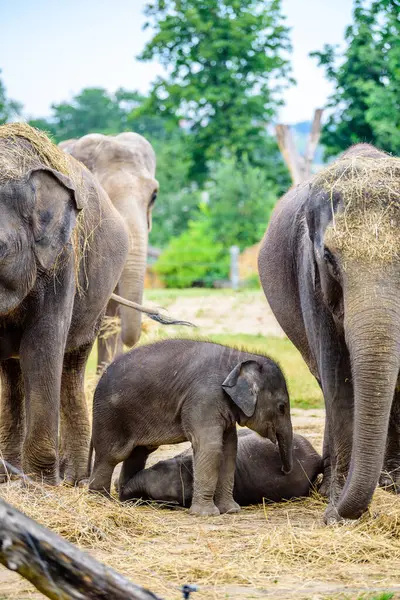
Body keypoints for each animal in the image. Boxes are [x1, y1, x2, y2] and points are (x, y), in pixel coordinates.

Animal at [90, 338, 294, 516]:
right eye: (282, 407)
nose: (284, 470)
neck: (238, 359)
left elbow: (229, 449)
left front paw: (231, 511)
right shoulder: (204, 398)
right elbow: (210, 447)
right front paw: (206, 514)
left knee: (138, 453)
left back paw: (129, 500)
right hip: (110, 416)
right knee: (112, 456)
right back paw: (100, 501)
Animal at [260, 144, 400, 520]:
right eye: (328, 256)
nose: (331, 515)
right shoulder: (310, 276)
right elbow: (338, 374)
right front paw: (337, 502)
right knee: (324, 380)